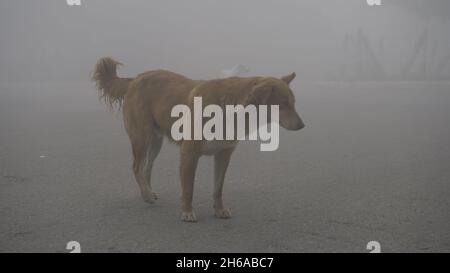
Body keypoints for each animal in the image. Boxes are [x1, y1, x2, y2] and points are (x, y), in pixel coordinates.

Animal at [90, 57, 304, 221]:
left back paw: (148, 192)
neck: (230, 108)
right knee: (136, 167)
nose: (302, 125)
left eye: (293, 103)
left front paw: (219, 210)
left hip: (155, 142)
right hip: (142, 137)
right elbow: (188, 188)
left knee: (147, 167)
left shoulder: (223, 156)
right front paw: (186, 211)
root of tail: (136, 78)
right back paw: (146, 194)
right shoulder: (189, 154)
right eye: (283, 104)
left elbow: (218, 188)